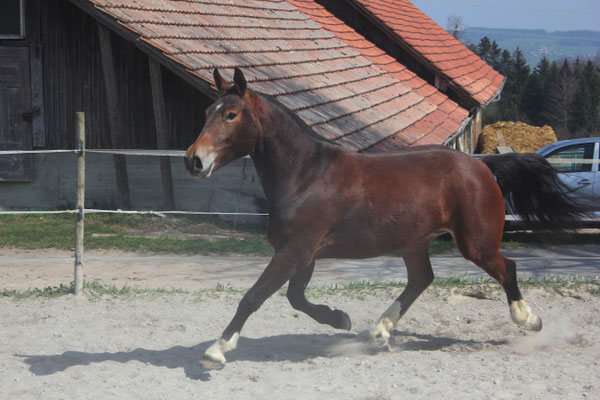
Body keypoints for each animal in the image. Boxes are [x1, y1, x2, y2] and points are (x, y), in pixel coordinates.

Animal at [185, 68, 588, 366]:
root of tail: (481, 165)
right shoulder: (303, 254)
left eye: (231, 115)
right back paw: (379, 332)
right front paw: (340, 318)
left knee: (508, 268)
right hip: (415, 241)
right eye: (206, 113)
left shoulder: (295, 251)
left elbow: (254, 296)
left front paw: (215, 351)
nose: (194, 161)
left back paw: (529, 320)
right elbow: (296, 298)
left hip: (476, 243)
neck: (305, 174)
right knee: (421, 279)